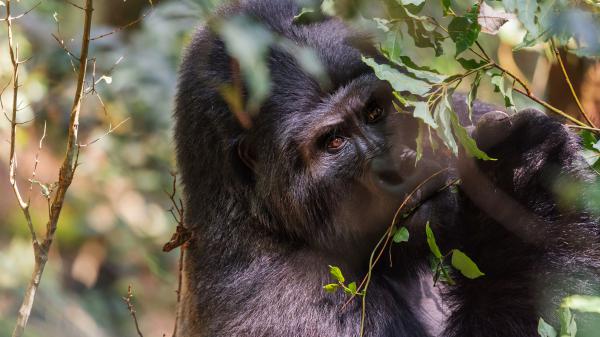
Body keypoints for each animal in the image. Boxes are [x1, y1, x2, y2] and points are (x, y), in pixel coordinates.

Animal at [172, 1, 600, 334]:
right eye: (334, 142)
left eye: (375, 111)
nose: (400, 164)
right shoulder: (294, 301)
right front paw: (520, 193)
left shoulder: (456, 115)